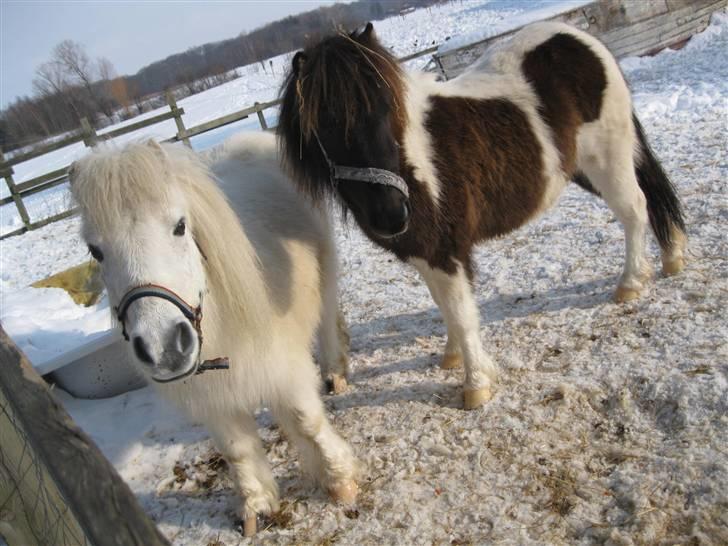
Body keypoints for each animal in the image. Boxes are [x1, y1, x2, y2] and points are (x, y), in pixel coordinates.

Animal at [69, 134, 360, 532]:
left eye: (179, 226)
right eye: (95, 250)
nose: (163, 348)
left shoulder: (284, 368)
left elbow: (307, 421)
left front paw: (340, 479)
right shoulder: (212, 397)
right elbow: (237, 450)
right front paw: (256, 505)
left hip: (325, 264)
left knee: (328, 317)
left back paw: (334, 372)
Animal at [276, 21, 684, 406]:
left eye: (386, 108)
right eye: (325, 126)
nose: (391, 216)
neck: (415, 162)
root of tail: (579, 38)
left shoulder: (445, 251)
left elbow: (460, 312)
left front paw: (476, 386)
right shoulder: (425, 254)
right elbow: (445, 305)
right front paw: (454, 356)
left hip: (608, 160)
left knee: (635, 210)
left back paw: (631, 284)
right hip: (584, 168)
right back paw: (671, 257)